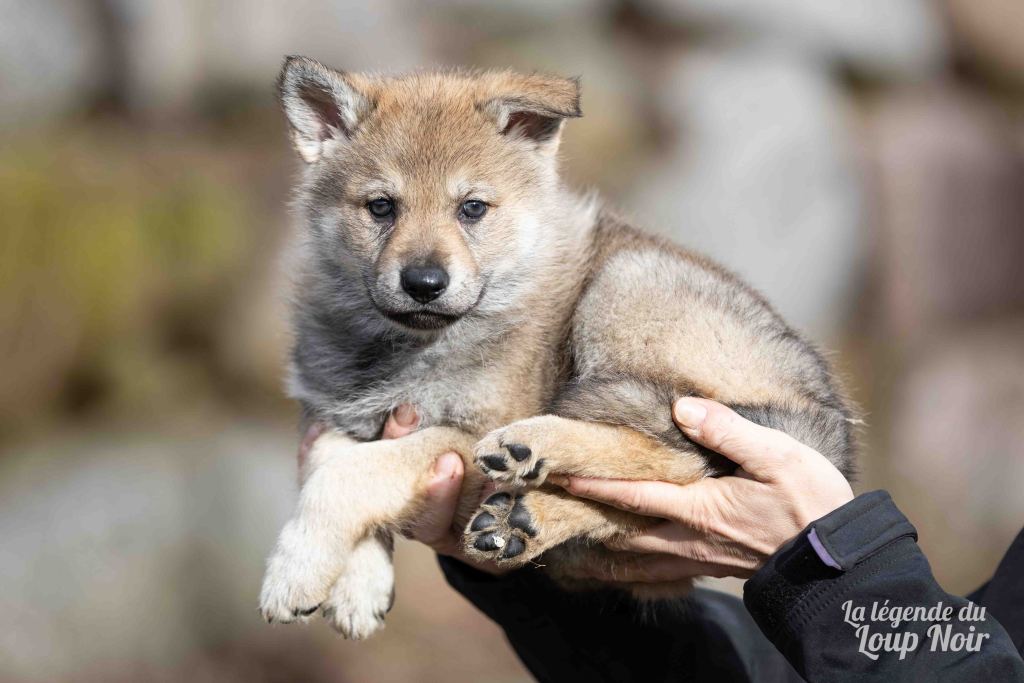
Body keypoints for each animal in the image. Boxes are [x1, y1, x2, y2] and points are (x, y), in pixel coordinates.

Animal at [258, 55, 856, 640]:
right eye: (381, 207)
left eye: (472, 209)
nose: (424, 283)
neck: (413, 344)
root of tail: (827, 423)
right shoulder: (336, 412)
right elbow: (331, 463)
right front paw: (358, 586)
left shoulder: (465, 430)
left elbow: (346, 476)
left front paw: (293, 573)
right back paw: (522, 519)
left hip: (626, 286)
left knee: (683, 458)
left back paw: (529, 447)